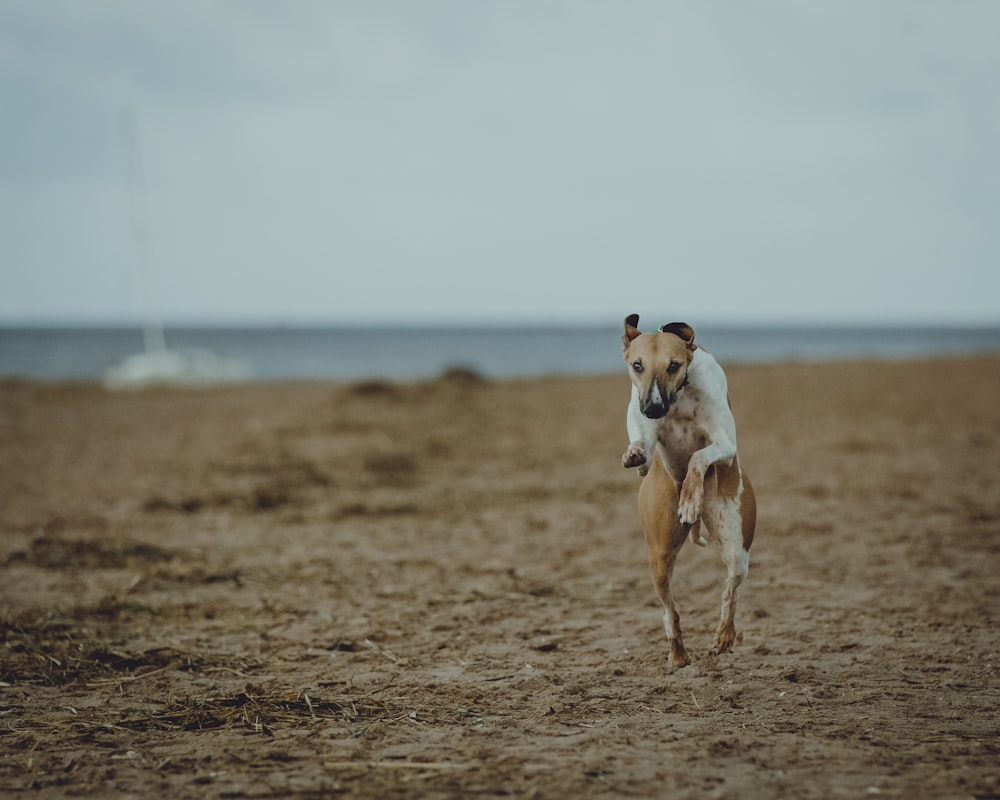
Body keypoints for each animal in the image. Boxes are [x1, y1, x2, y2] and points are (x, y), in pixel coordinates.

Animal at [620, 314, 752, 668]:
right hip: (659, 557)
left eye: (673, 365)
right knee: (671, 611)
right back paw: (678, 652)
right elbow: (641, 443)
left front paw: (691, 498)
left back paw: (724, 635)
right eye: (637, 365)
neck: (679, 396)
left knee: (731, 589)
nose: (654, 408)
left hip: (736, 545)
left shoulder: (725, 443)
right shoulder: (641, 421)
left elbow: (698, 456)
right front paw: (637, 458)